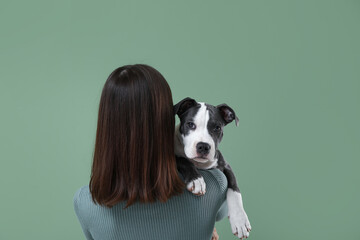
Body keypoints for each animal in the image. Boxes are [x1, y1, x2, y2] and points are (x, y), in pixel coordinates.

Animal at [174, 97, 250, 238]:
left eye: (217, 128)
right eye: (190, 124)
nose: (203, 146)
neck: (199, 164)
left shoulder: (224, 166)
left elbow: (234, 189)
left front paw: (240, 220)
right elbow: (183, 160)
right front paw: (197, 180)